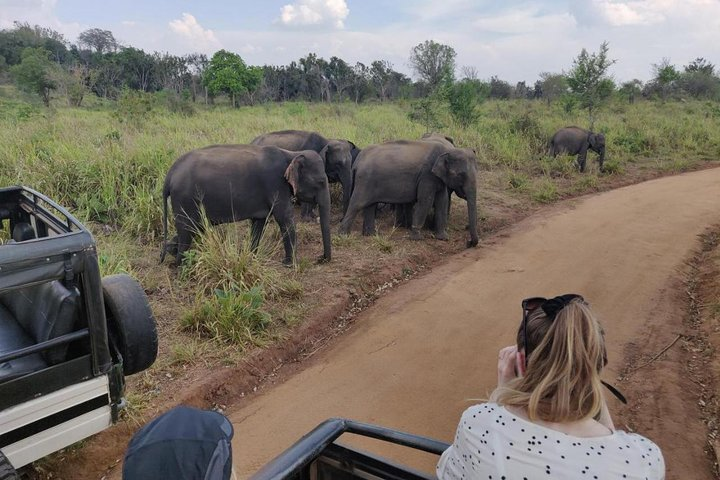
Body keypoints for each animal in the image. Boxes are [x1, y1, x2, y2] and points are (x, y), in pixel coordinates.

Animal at [340, 140, 480, 248]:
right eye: (460, 175)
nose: (468, 243)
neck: (447, 150)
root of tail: (357, 161)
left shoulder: (438, 177)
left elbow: (443, 201)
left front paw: (443, 238)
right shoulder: (427, 175)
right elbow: (426, 201)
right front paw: (417, 238)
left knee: (370, 205)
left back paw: (370, 235)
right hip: (365, 181)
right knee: (357, 204)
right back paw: (343, 235)